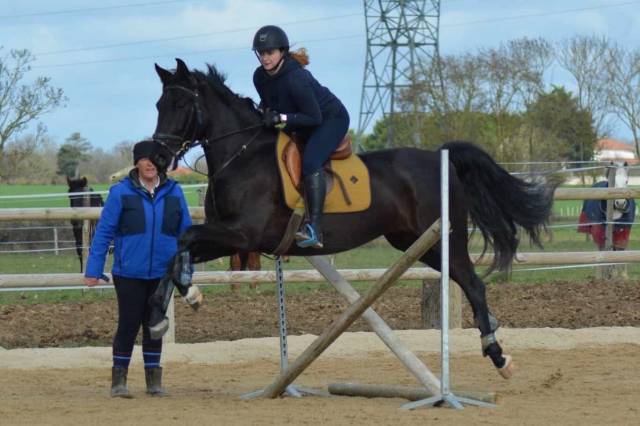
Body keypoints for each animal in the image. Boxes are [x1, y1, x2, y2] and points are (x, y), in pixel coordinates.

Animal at [148, 58, 558, 379]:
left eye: (181, 104)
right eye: (158, 104)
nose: (158, 157)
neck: (242, 155)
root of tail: (439, 157)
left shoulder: (242, 234)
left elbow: (184, 239)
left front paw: (189, 295)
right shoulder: (226, 237)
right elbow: (177, 252)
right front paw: (160, 315)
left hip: (445, 239)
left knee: (474, 284)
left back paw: (498, 354)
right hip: (415, 243)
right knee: (466, 281)